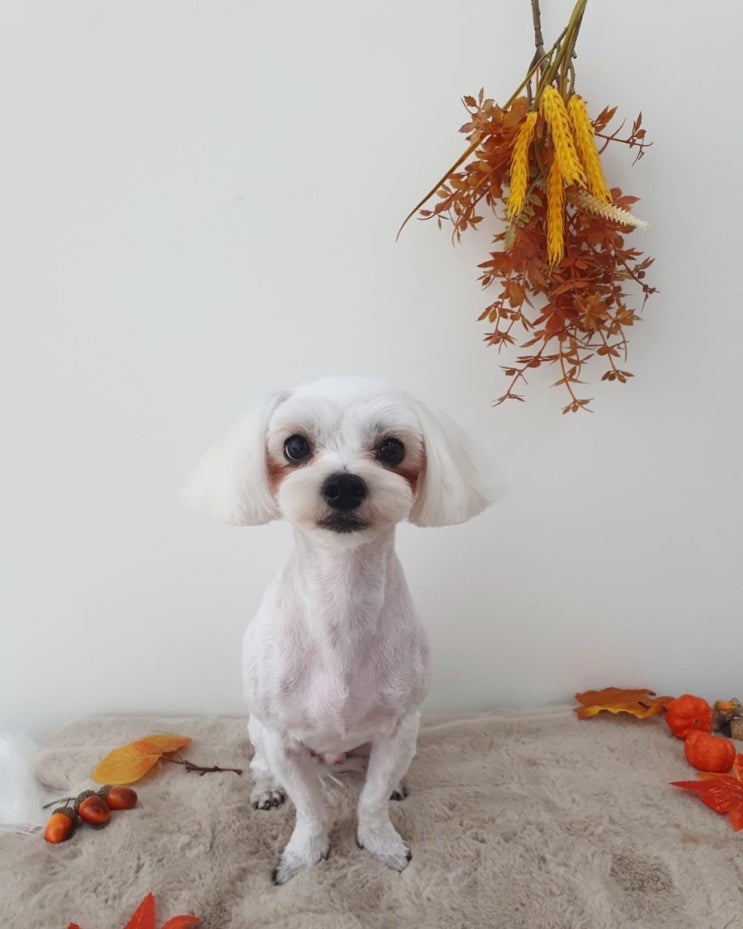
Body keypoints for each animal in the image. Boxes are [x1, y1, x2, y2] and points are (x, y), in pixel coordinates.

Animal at [186, 377, 489, 884]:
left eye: (391, 448)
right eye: (294, 446)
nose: (344, 484)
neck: (341, 599)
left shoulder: (399, 728)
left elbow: (372, 800)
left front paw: (381, 842)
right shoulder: (281, 738)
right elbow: (310, 808)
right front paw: (304, 855)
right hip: (257, 731)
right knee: (259, 766)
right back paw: (266, 791)